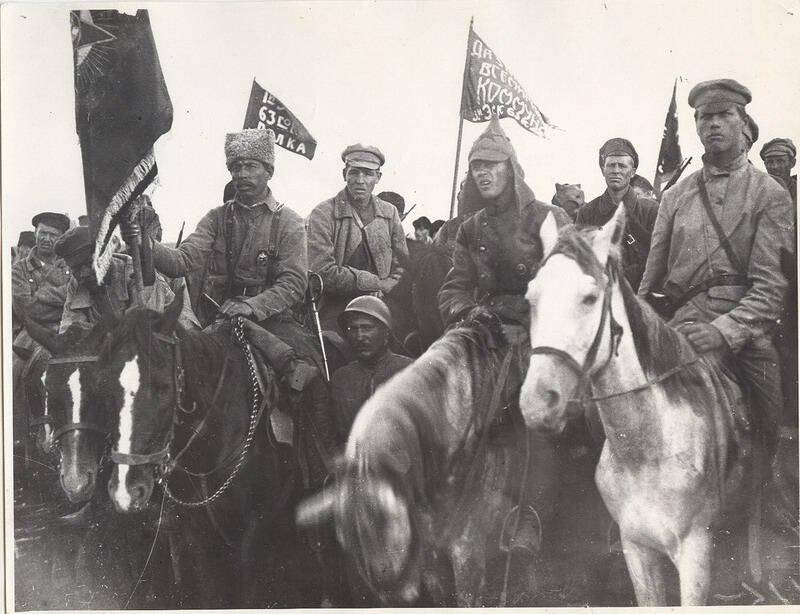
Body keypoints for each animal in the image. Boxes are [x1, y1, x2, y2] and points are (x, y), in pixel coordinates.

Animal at [520, 211, 756, 608]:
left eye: (589, 298)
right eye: (531, 296)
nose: (538, 402)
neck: (645, 449)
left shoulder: (695, 553)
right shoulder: (637, 549)